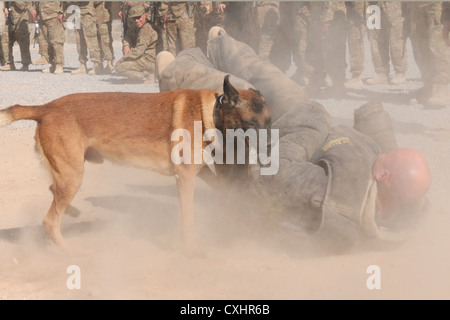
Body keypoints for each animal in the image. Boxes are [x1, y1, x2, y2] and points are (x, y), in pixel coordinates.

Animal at [0, 75, 270, 250]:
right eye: (250, 124)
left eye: (269, 122)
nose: (269, 151)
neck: (211, 113)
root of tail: (46, 108)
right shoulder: (185, 177)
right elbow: (188, 218)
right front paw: (190, 247)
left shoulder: (199, 171)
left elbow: (224, 190)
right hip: (73, 176)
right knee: (50, 220)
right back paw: (67, 249)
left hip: (68, 173)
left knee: (53, 192)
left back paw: (72, 212)